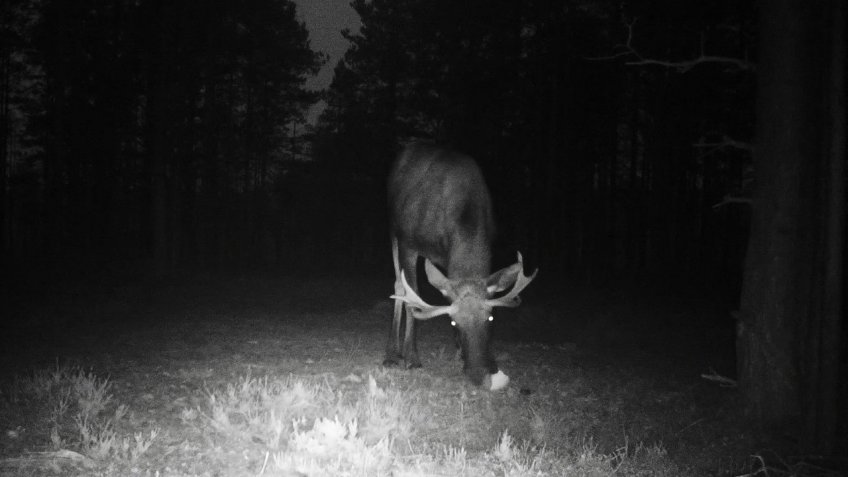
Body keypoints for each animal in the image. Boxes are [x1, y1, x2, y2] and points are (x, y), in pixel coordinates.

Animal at [384, 143, 537, 390]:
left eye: (491, 319)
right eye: (454, 322)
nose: (479, 373)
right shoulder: (409, 242)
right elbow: (411, 297)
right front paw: (412, 358)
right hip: (393, 230)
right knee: (398, 285)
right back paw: (392, 354)